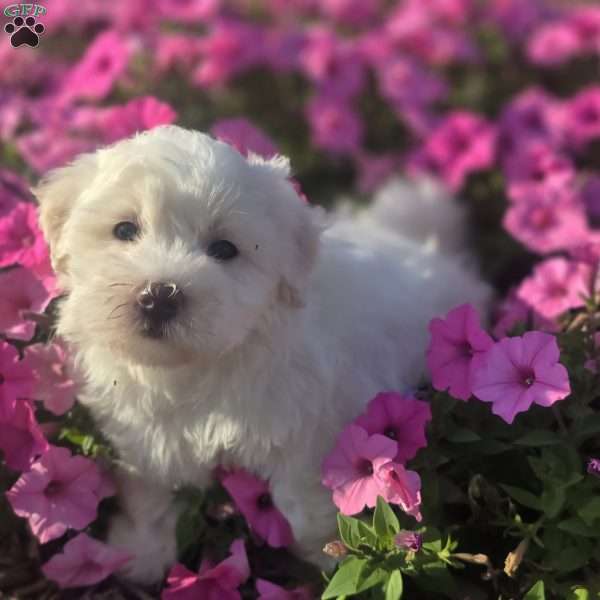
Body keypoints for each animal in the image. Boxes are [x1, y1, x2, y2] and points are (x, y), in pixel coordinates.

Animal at [34, 125, 492, 580]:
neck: (197, 366)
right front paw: (139, 552)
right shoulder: (146, 435)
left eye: (224, 249)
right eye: (125, 230)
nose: (159, 297)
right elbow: (152, 496)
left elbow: (303, 497)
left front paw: (333, 555)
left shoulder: (313, 423)